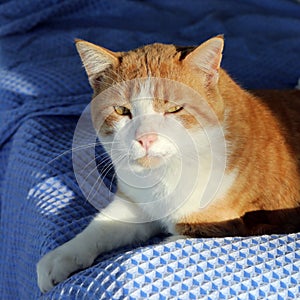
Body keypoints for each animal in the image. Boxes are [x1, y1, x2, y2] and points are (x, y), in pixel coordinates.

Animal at [36, 35, 298, 292]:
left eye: (174, 108)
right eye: (121, 110)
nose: (145, 138)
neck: (167, 174)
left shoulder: (217, 226)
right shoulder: (135, 205)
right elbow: (102, 225)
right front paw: (62, 256)